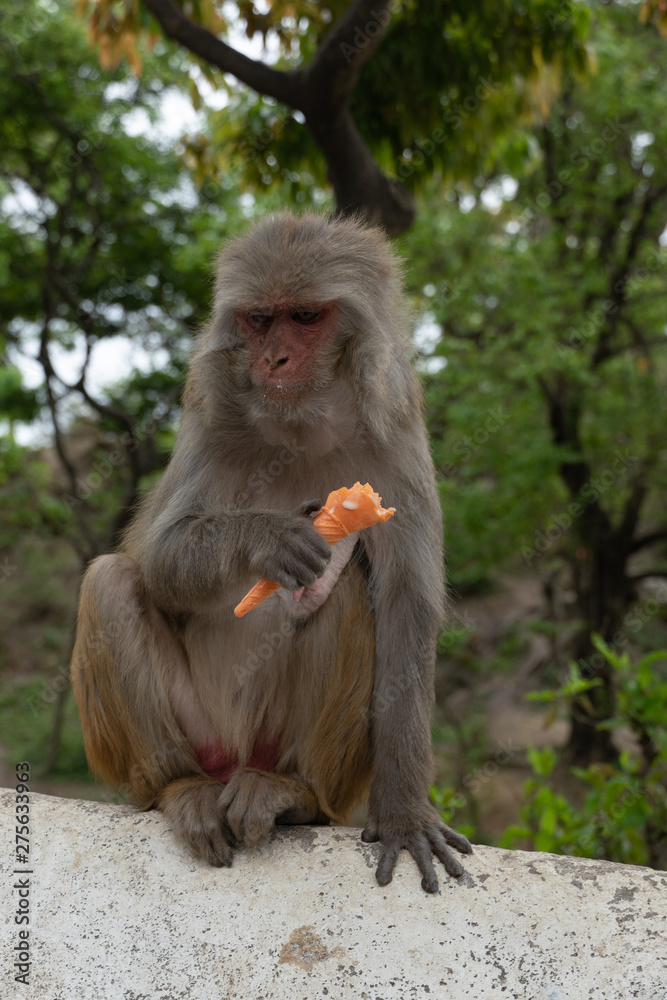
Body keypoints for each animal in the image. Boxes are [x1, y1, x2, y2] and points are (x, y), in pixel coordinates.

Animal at [71, 211, 472, 893]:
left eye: (305, 317)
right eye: (260, 319)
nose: (274, 357)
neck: (302, 425)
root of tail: (231, 762)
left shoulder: (396, 433)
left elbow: (407, 606)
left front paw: (405, 812)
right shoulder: (208, 413)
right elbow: (161, 557)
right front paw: (267, 538)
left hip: (291, 751)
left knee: (347, 588)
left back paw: (293, 792)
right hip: (188, 735)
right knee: (111, 581)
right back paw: (180, 787)